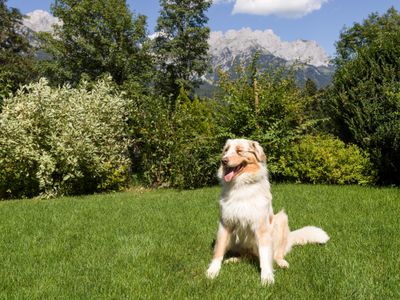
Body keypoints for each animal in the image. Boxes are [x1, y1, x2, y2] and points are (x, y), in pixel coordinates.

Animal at [205, 139, 330, 284]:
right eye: (226, 150)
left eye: (239, 151)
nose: (223, 160)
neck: (241, 186)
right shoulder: (225, 224)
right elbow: (218, 250)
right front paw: (213, 271)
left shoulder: (262, 227)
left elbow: (265, 256)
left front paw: (267, 277)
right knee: (247, 255)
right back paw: (234, 259)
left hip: (281, 219)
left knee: (276, 254)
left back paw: (282, 263)